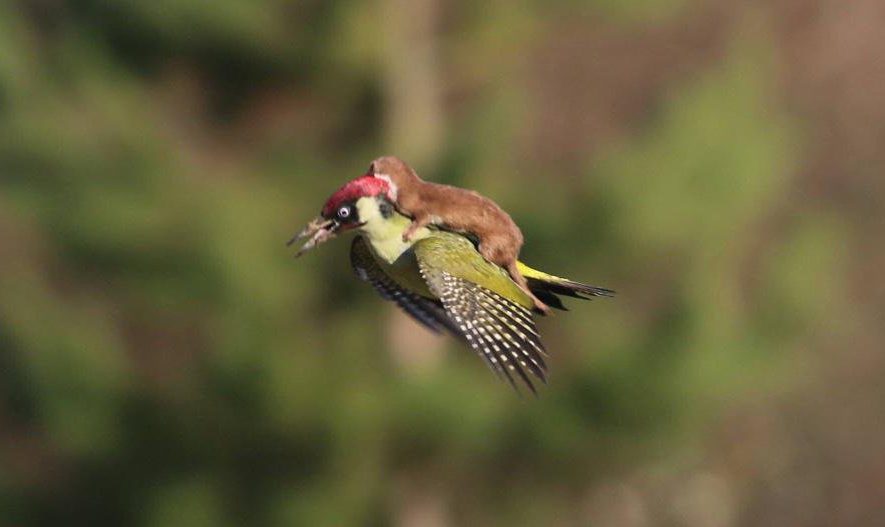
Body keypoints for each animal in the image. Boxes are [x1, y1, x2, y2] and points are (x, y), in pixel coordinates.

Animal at [370, 157, 548, 314]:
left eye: (370, 169)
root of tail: (515, 249)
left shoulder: (420, 207)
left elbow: (422, 219)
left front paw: (408, 232)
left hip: (492, 242)